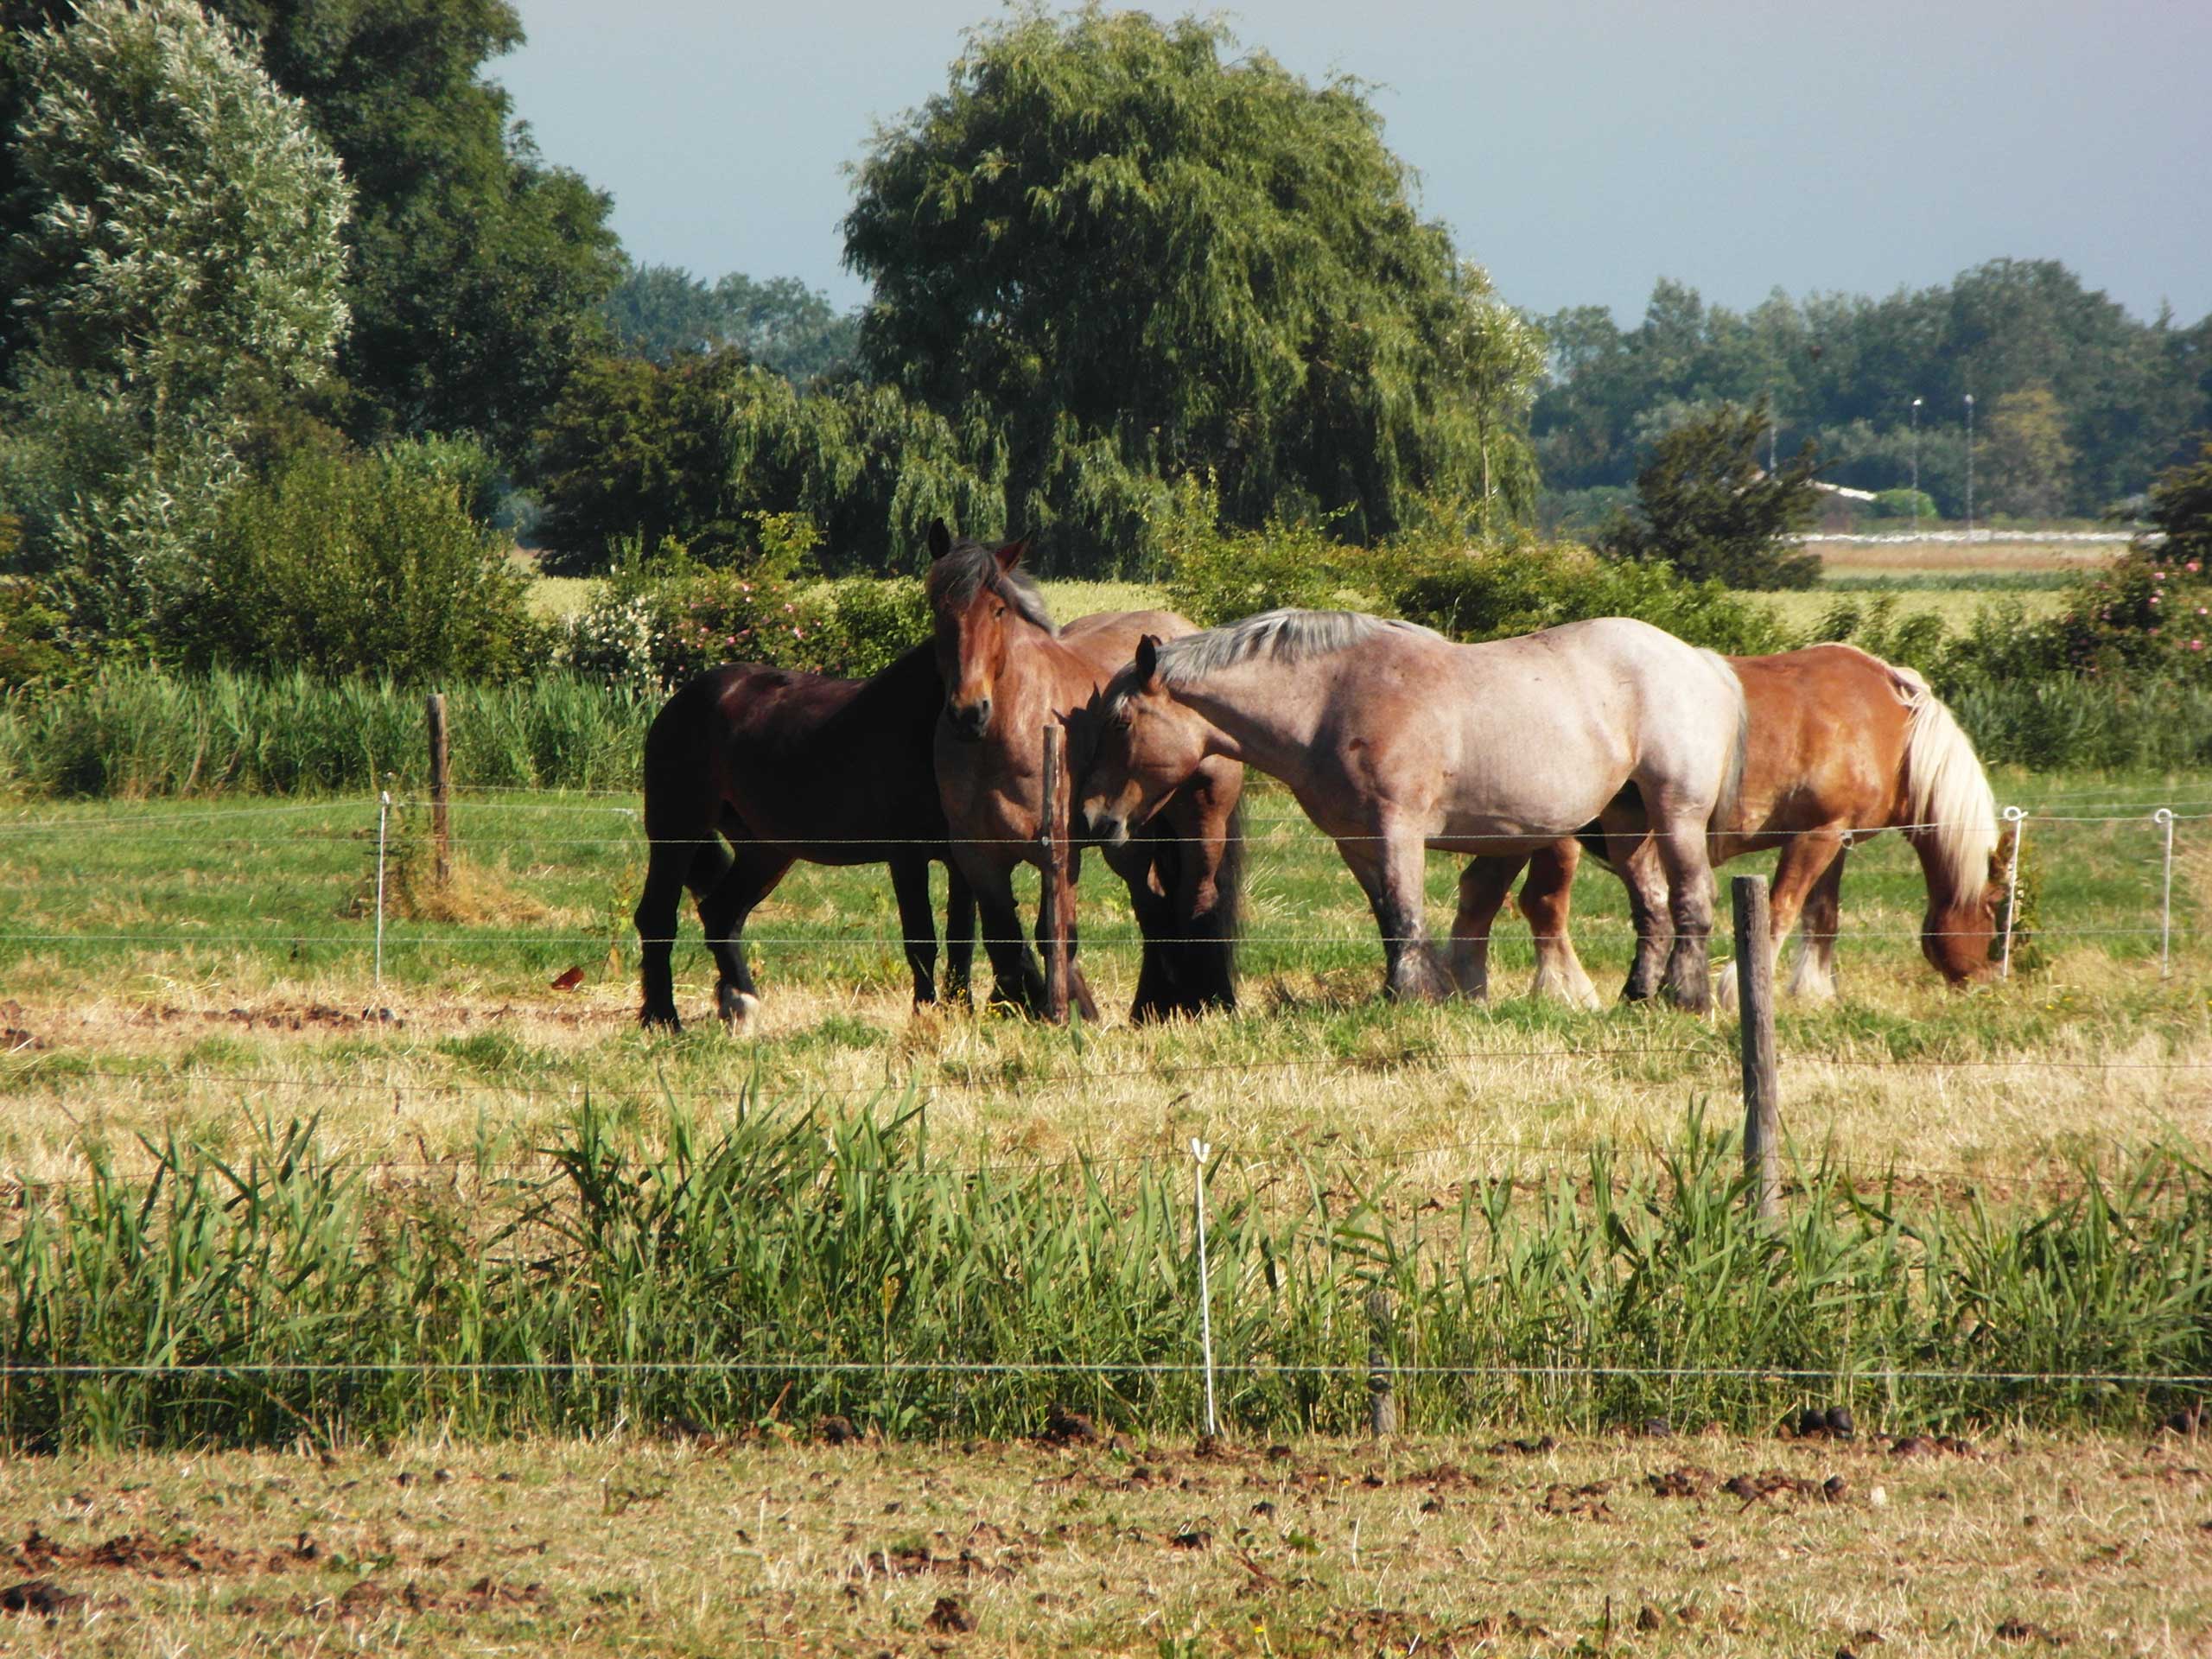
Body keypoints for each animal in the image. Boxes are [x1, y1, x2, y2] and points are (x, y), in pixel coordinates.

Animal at [633, 643, 976, 1031]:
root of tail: (681, 699)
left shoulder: (964, 858)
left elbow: (962, 938)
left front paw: (963, 1011)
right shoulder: (907, 856)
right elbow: (921, 938)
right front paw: (924, 1012)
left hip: (767, 852)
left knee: (721, 913)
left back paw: (740, 1002)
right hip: (675, 832)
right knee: (657, 918)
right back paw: (663, 1018)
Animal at [925, 523, 1244, 1021]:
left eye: (998, 610)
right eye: (938, 606)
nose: (968, 713)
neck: (1002, 735)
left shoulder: (1059, 853)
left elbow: (1055, 934)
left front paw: (1065, 1011)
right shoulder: (977, 857)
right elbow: (1004, 937)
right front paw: (1029, 1002)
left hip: (1202, 819)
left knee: (1199, 899)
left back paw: (1211, 1000)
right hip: (1128, 838)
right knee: (1153, 906)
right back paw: (1149, 1007)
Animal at [1076, 610, 1748, 1011]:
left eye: (1121, 722)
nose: (1094, 820)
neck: (1331, 699)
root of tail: (1700, 660)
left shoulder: (1397, 829)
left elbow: (1405, 913)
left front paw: (1409, 997)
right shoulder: (1356, 842)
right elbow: (1387, 917)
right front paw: (1413, 992)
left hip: (1676, 812)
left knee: (1692, 899)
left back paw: (1687, 996)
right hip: (1625, 822)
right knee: (1653, 906)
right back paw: (1638, 996)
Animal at [1466, 642, 2007, 1005]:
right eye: (1995, 907)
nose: (1987, 981)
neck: (1889, 727)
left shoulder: (1838, 836)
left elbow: (1822, 917)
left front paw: (1813, 993)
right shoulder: (1815, 837)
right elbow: (1783, 909)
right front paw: (1735, 989)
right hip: (1552, 840)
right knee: (1543, 907)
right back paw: (1568, 991)